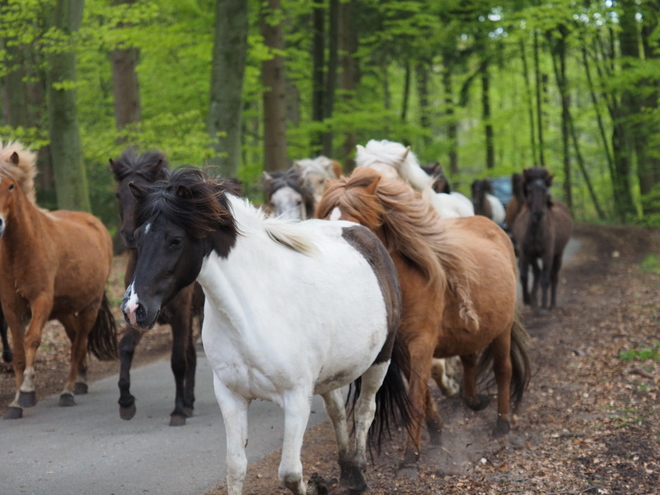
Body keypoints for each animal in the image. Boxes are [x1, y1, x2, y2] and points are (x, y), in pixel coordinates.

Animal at [0, 141, 117, 420]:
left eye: (10, 186)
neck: (20, 250)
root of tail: (95, 223)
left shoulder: (40, 300)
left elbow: (32, 340)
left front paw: (28, 391)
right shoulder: (11, 307)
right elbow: (18, 353)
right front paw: (15, 404)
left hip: (89, 307)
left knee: (79, 344)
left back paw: (68, 392)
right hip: (63, 309)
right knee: (75, 339)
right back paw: (81, 381)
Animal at [109, 149, 204, 428]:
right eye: (118, 194)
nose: (128, 234)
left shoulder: (180, 314)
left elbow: (178, 361)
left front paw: (178, 410)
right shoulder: (137, 312)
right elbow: (126, 347)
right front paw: (126, 401)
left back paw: (186, 402)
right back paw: (189, 400)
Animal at [120, 169, 412, 494]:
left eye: (175, 240)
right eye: (138, 238)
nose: (133, 309)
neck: (252, 314)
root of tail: (363, 234)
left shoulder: (296, 399)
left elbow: (290, 473)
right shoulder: (231, 396)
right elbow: (235, 468)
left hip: (380, 360)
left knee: (364, 410)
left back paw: (358, 475)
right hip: (331, 373)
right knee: (337, 410)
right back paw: (347, 471)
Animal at [318, 168, 532, 476]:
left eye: (354, 225)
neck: (408, 282)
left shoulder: (420, 344)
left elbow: (417, 395)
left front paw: (410, 456)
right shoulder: (403, 350)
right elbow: (420, 392)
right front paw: (436, 431)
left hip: (502, 330)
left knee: (503, 370)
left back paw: (502, 423)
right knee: (469, 360)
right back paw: (474, 401)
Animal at [510, 169, 572, 312]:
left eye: (544, 190)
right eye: (529, 189)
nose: (538, 214)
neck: (535, 231)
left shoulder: (547, 254)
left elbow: (545, 278)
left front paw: (543, 305)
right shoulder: (526, 253)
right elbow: (525, 276)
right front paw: (528, 300)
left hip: (558, 254)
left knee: (553, 276)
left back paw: (551, 303)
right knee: (537, 273)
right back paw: (534, 300)